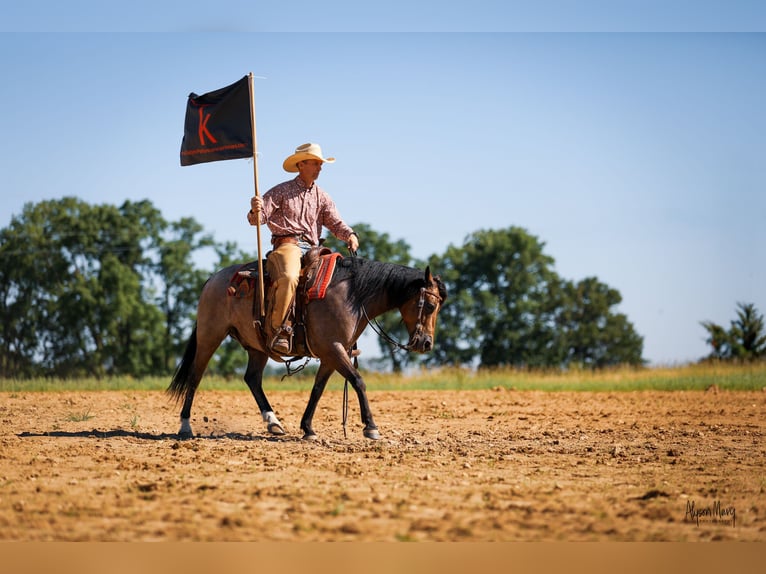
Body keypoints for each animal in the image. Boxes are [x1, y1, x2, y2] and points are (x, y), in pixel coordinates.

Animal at [167, 255, 447, 440]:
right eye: (430, 305)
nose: (426, 343)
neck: (353, 295)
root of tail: (212, 279)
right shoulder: (334, 349)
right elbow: (358, 381)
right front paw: (371, 427)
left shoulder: (331, 354)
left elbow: (317, 389)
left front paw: (308, 429)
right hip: (209, 336)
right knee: (195, 376)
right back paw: (185, 427)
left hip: (257, 348)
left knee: (252, 379)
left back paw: (274, 423)